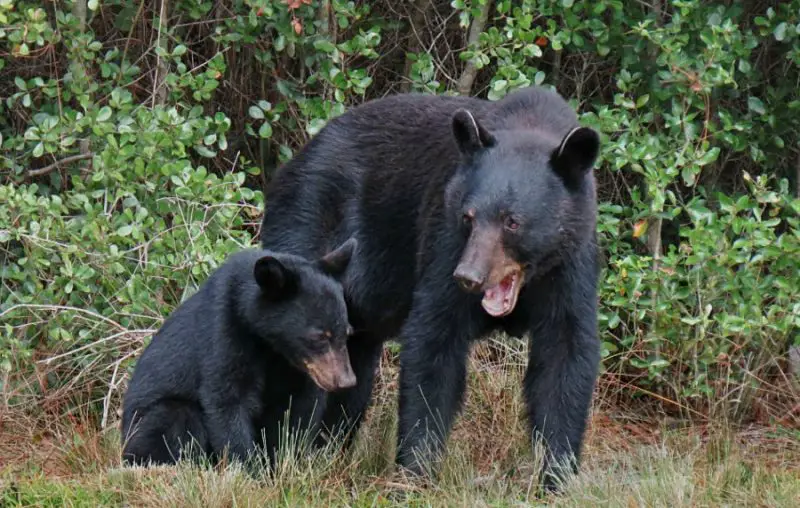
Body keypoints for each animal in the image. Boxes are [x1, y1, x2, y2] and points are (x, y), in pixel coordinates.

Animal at [121, 238, 358, 469]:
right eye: (319, 337)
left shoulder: (301, 369)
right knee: (175, 417)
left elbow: (298, 411)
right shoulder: (225, 331)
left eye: (347, 332)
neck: (272, 346)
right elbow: (227, 398)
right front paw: (249, 469)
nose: (346, 381)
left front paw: (287, 463)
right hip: (144, 426)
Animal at [259, 85, 601, 491]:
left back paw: (325, 452)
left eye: (513, 222)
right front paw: (415, 474)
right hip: (308, 225)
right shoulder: (445, 239)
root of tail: (291, 163)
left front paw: (556, 476)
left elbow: (565, 356)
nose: (469, 276)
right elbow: (434, 341)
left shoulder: (570, 267)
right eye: (469, 217)